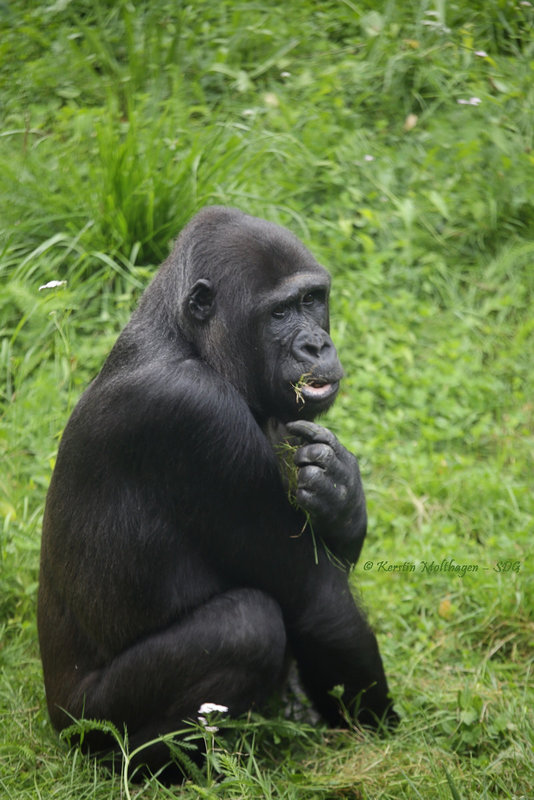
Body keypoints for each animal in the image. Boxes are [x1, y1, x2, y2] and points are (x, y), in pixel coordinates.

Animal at [37, 206, 398, 776]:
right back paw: (148, 763)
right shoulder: (198, 419)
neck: (188, 341)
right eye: (279, 313)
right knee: (247, 627)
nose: (317, 345)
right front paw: (387, 734)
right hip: (85, 722)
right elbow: (318, 600)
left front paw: (341, 491)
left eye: (312, 300)